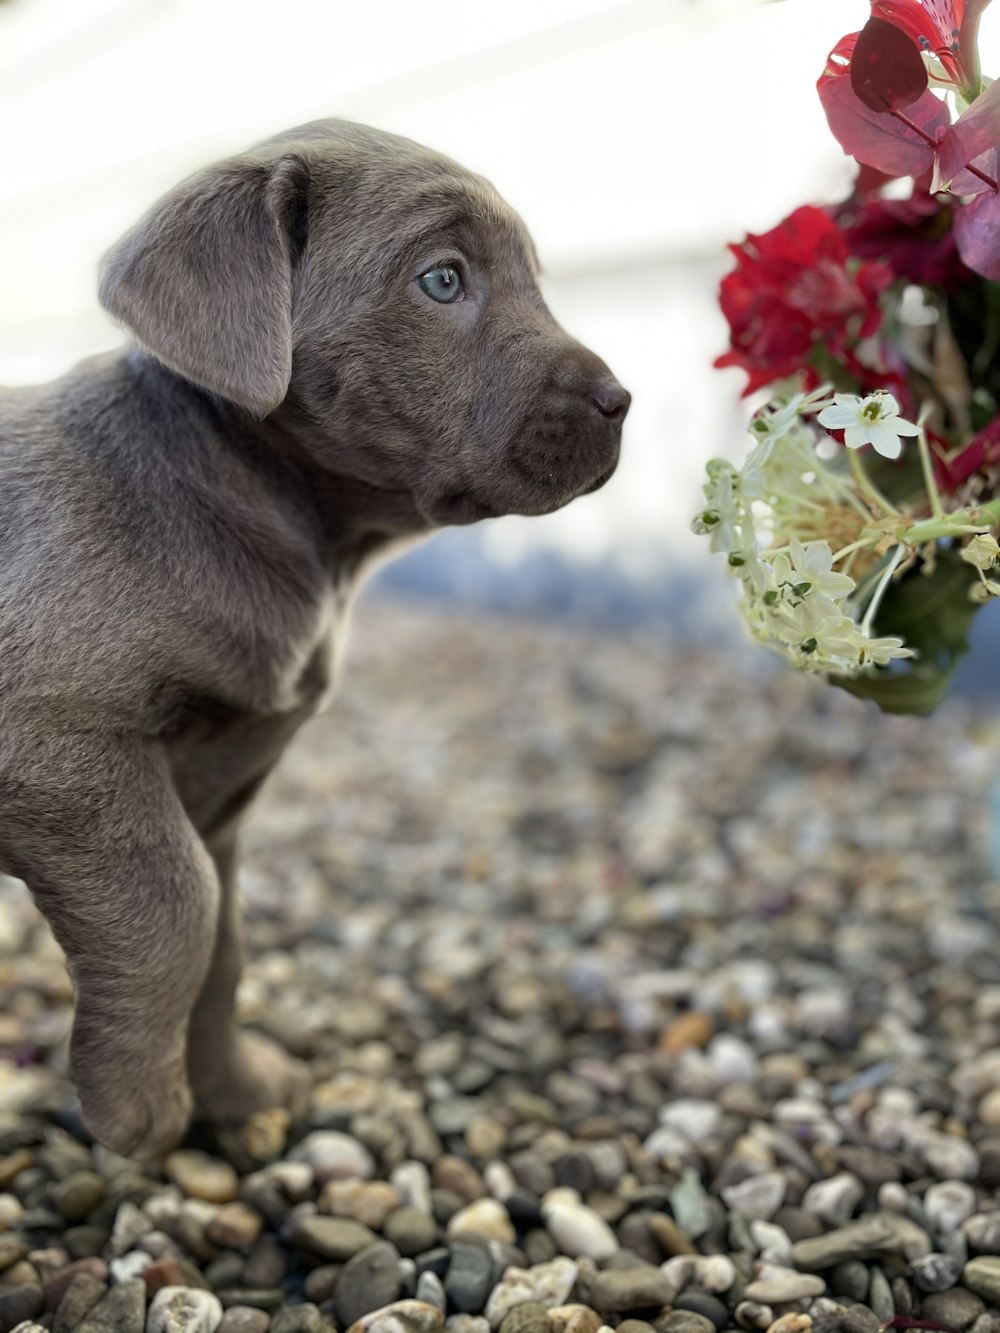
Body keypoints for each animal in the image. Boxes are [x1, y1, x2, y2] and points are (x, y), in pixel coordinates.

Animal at [0, 117, 629, 1157]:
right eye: (443, 280)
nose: (621, 401)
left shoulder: (217, 786)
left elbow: (224, 941)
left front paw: (233, 1087)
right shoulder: (53, 743)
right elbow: (173, 905)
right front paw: (139, 1105)